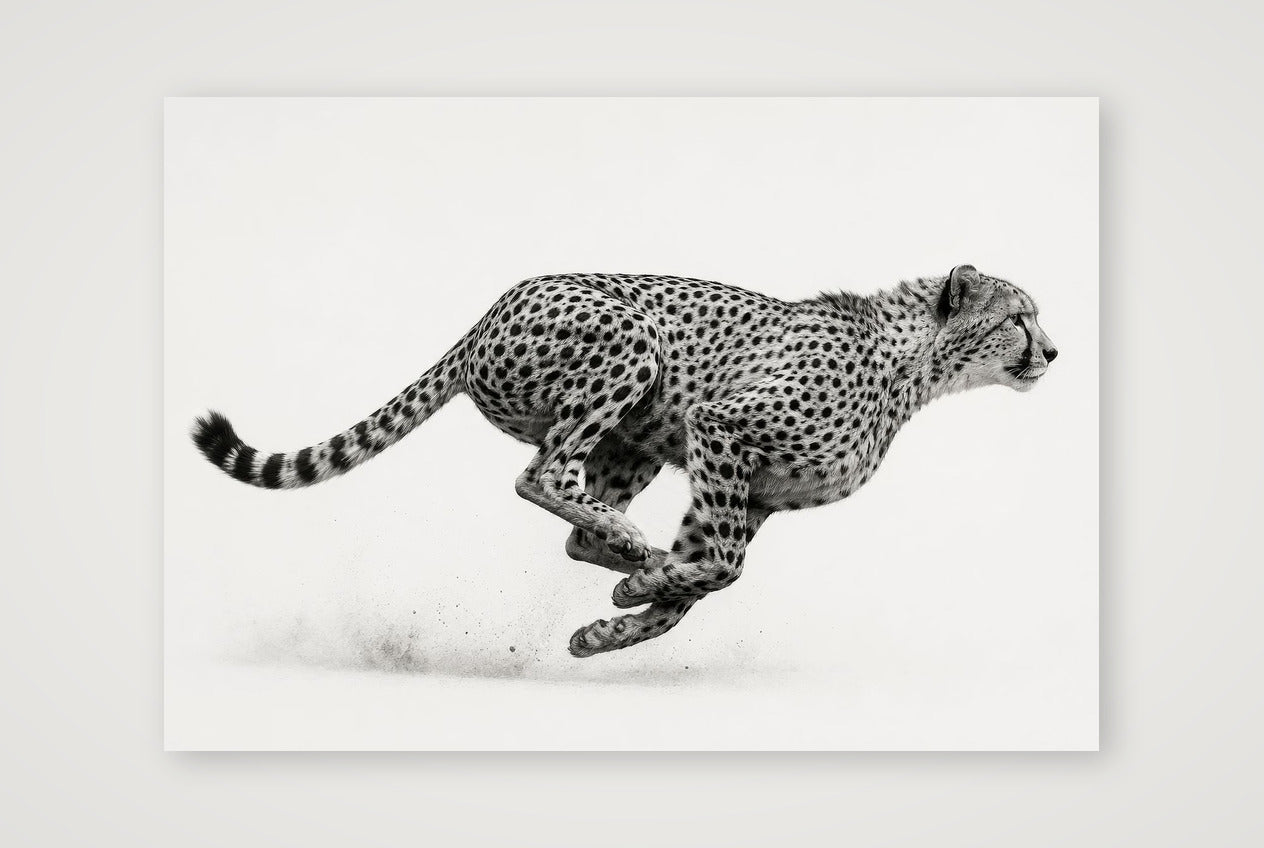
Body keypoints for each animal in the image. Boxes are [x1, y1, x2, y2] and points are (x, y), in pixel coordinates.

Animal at [192, 264, 1057, 657]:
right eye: (1019, 317)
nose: (1053, 351)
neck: (914, 365)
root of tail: (489, 311)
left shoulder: (756, 493)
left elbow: (708, 579)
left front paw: (611, 626)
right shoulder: (722, 427)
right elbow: (722, 568)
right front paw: (638, 590)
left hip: (638, 439)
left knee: (576, 521)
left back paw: (625, 549)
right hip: (634, 348)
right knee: (540, 476)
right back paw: (631, 546)